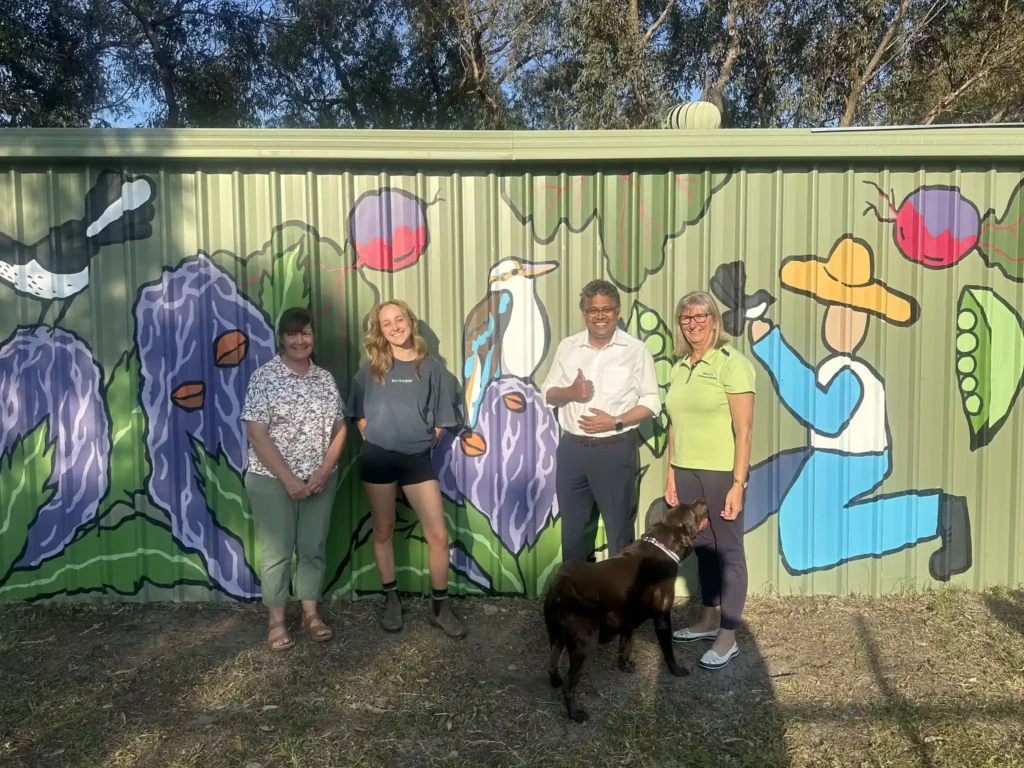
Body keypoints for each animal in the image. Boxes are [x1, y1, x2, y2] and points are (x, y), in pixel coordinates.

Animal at [544, 501, 704, 724]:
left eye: (686, 505)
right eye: (691, 511)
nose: (702, 501)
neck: (661, 545)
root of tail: (561, 586)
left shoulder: (628, 620)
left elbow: (625, 646)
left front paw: (625, 666)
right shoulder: (662, 619)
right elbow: (668, 651)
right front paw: (677, 671)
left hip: (556, 637)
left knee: (551, 665)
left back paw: (555, 681)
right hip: (585, 648)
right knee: (569, 686)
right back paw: (575, 715)